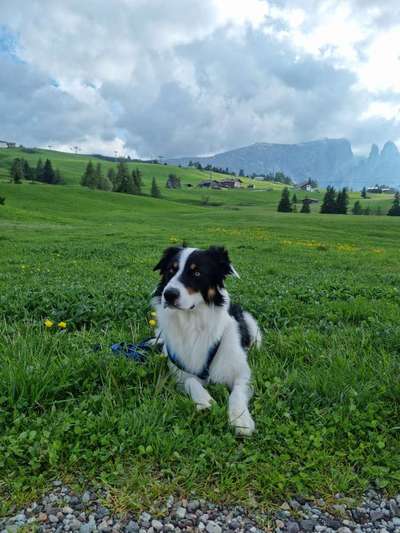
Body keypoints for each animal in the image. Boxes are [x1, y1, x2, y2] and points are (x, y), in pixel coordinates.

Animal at [152, 245, 260, 436]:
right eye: (171, 270)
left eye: (197, 273)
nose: (168, 294)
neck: (193, 321)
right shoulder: (179, 369)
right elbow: (191, 381)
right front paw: (205, 402)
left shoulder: (242, 370)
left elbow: (238, 392)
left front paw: (240, 418)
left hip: (252, 327)